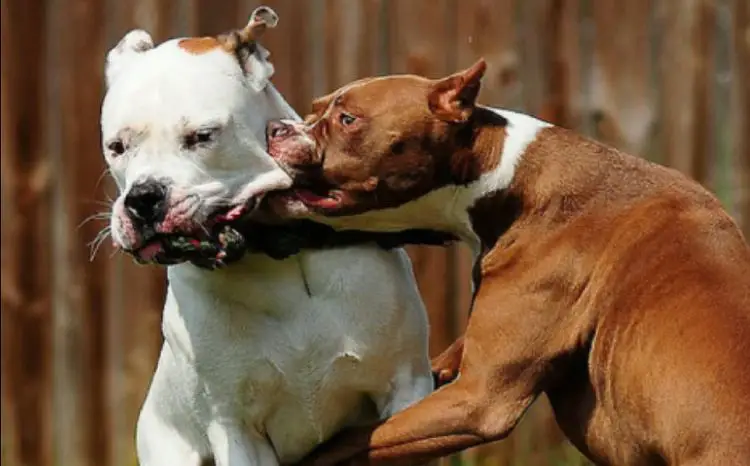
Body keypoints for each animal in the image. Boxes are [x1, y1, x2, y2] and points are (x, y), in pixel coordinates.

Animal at [103, 8, 438, 466]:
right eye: (116, 147)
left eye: (203, 136)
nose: (143, 198)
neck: (277, 256)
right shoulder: (236, 429)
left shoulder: (406, 386)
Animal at [264, 60, 750, 464]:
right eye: (314, 109)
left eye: (347, 120)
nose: (275, 129)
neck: (507, 180)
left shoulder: (477, 400)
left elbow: (342, 445)